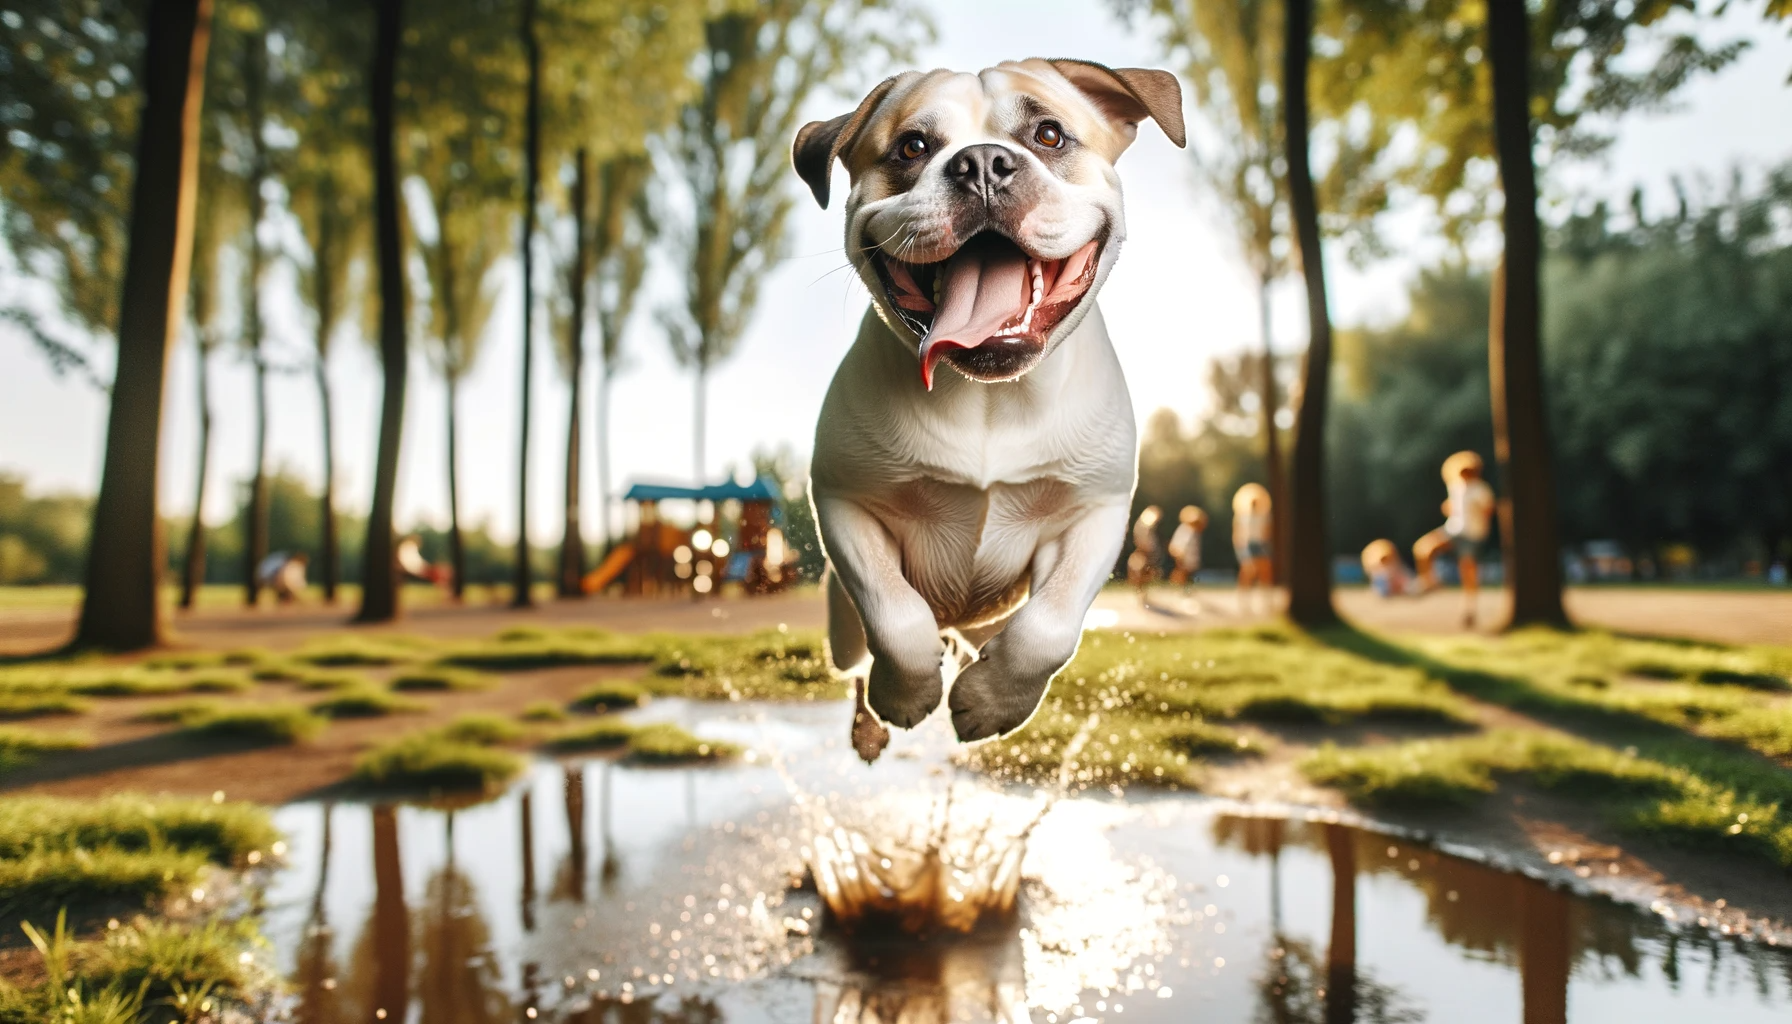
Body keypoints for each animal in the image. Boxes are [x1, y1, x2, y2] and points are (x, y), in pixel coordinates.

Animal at [792, 60, 1182, 756]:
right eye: (912, 147)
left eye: (1049, 134)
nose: (980, 163)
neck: (987, 395)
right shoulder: (846, 504)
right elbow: (894, 614)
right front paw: (906, 695)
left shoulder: (1094, 515)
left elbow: (1048, 626)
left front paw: (993, 703)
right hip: (838, 622)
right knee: (857, 658)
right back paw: (870, 722)